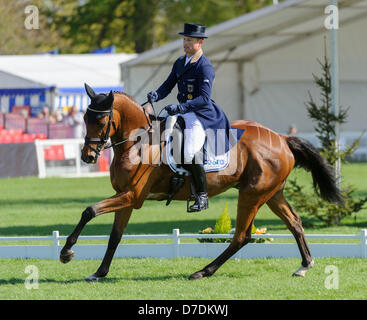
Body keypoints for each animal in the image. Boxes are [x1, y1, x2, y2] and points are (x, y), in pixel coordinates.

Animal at [59, 84, 344, 282]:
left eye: (100, 120)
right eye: (84, 119)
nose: (88, 156)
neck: (137, 143)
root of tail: (283, 138)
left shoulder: (132, 196)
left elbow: (89, 211)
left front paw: (66, 252)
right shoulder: (125, 197)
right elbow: (114, 237)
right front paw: (99, 272)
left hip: (252, 195)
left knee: (242, 236)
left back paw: (202, 272)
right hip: (272, 194)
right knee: (294, 222)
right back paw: (304, 266)